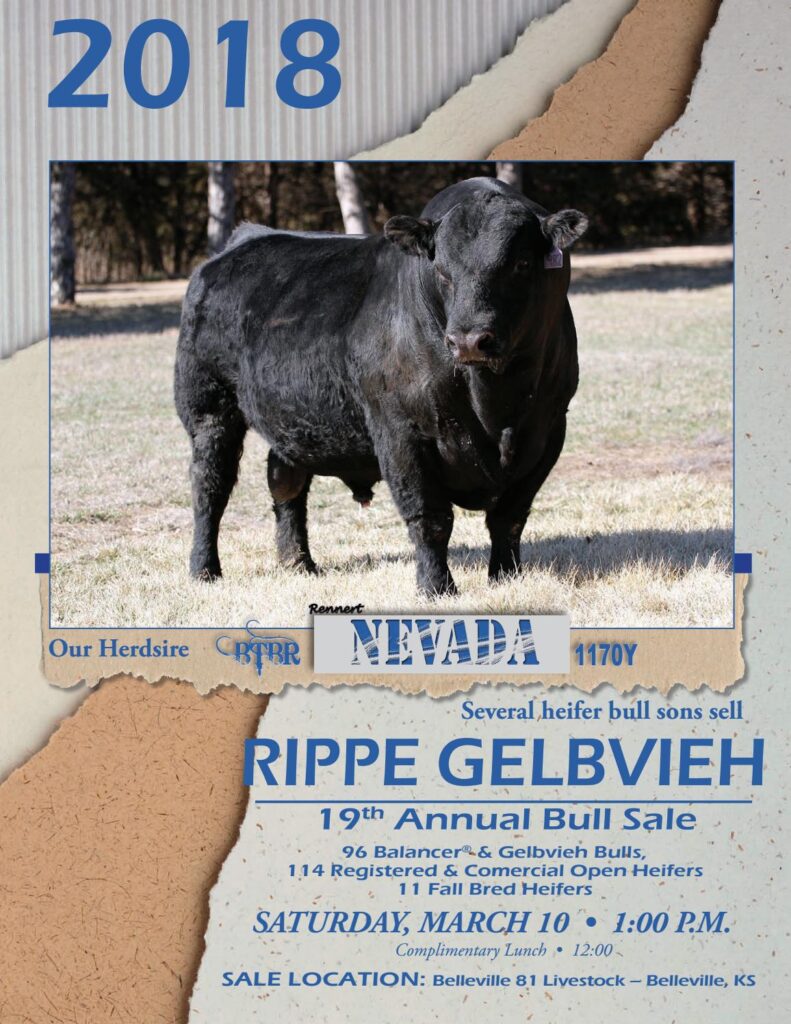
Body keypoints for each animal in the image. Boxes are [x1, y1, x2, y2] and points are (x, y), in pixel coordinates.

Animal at [174, 176, 587, 596]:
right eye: (441, 270)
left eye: (521, 264)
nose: (469, 340)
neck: (496, 407)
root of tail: (242, 239)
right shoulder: (401, 431)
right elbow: (430, 518)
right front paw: (436, 587)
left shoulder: (549, 430)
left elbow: (509, 517)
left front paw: (506, 577)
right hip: (209, 409)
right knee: (210, 487)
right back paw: (204, 569)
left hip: (290, 416)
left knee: (286, 483)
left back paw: (298, 563)